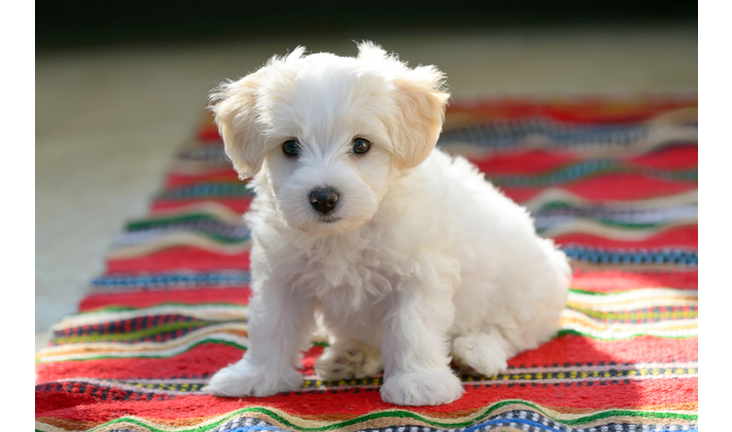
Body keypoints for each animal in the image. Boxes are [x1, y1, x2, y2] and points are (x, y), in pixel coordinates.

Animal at [202, 42, 572, 406]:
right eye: (290, 146)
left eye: (361, 145)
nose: (323, 197)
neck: (344, 234)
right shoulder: (281, 274)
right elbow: (271, 324)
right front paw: (256, 375)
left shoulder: (419, 273)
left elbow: (412, 327)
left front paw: (420, 383)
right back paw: (352, 356)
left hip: (529, 288)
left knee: (511, 332)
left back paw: (476, 352)